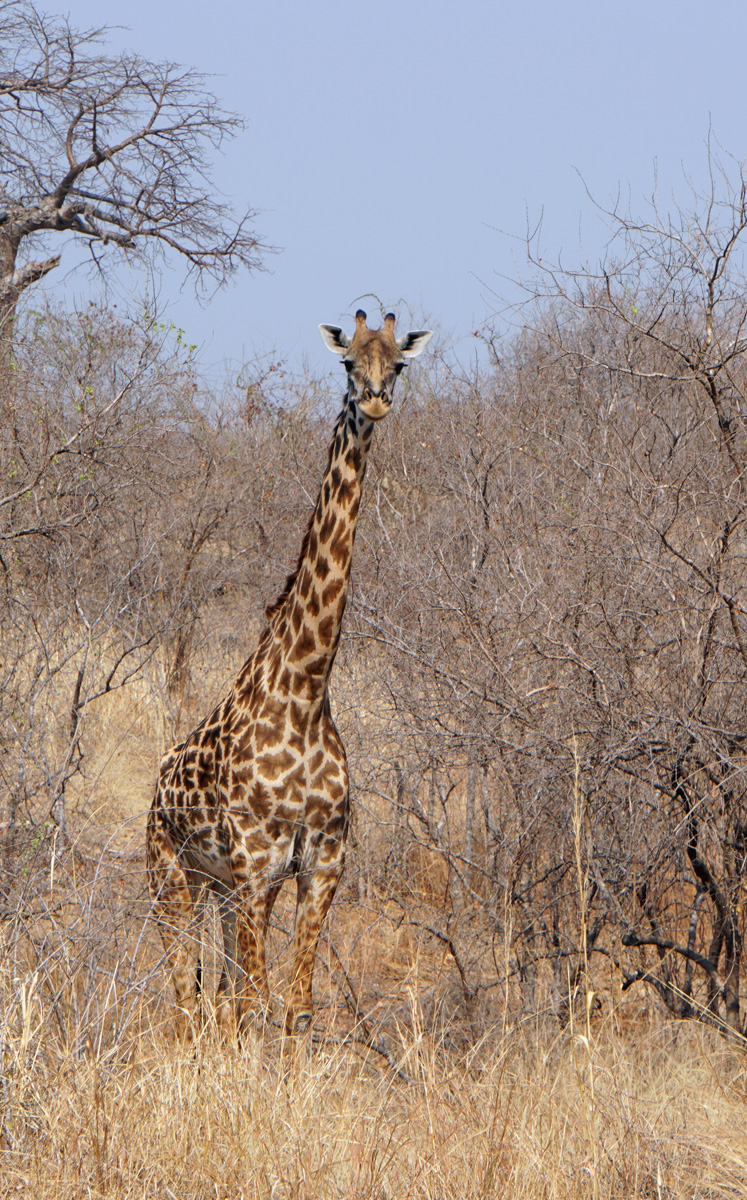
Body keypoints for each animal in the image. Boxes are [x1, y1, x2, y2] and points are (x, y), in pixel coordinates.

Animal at [147, 309, 432, 1039]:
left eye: (397, 363)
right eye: (348, 363)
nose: (374, 402)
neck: (306, 687)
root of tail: (155, 788)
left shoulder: (320, 864)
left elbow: (295, 1010)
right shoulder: (257, 863)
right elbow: (257, 1005)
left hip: (220, 889)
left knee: (215, 997)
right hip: (172, 877)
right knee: (187, 998)